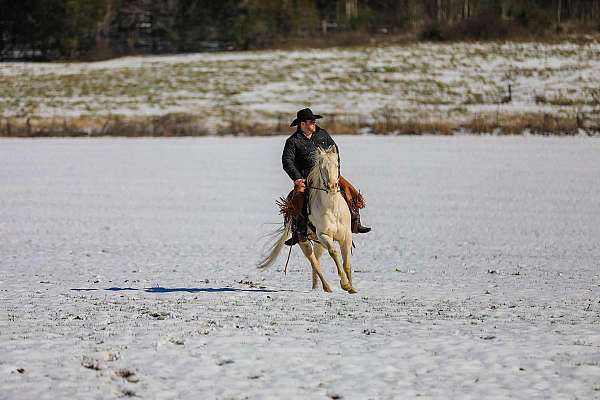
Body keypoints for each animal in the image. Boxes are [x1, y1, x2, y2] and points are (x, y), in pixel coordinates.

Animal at [258, 145, 356, 292]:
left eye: (337, 165)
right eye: (321, 167)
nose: (332, 186)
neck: (332, 208)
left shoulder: (346, 236)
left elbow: (347, 263)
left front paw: (352, 288)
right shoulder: (324, 235)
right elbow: (334, 253)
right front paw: (345, 284)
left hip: (317, 243)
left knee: (317, 259)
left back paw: (317, 287)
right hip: (304, 241)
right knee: (314, 262)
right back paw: (326, 287)